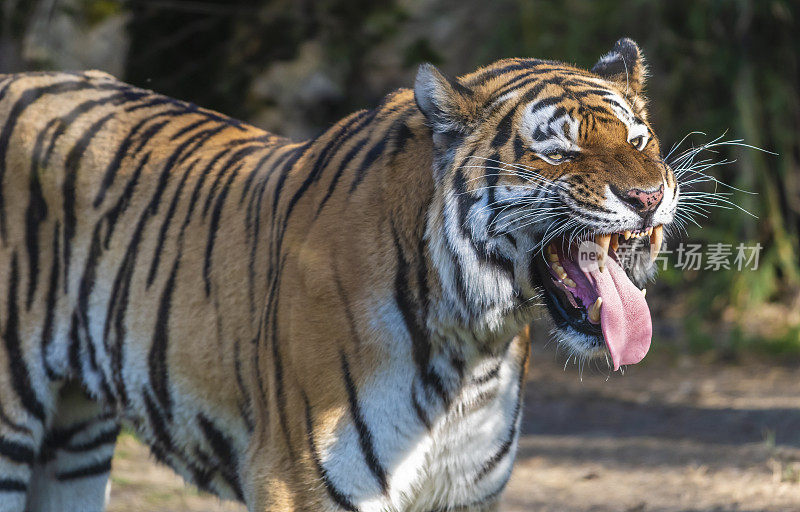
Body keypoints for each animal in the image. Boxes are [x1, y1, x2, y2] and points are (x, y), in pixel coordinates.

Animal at [0, 40, 676, 512]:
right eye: (558, 152)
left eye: (639, 140)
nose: (648, 198)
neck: (472, 347)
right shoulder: (300, 481)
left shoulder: (467, 491)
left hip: (75, 440)